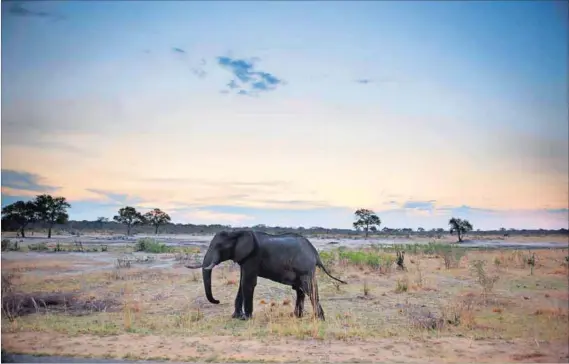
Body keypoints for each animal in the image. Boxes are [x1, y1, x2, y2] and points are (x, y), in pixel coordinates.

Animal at [186, 230, 346, 322]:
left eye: (219, 246)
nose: (218, 301)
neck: (237, 232)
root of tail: (316, 253)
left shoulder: (253, 256)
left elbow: (248, 283)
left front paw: (246, 319)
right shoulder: (245, 259)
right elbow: (242, 283)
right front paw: (236, 317)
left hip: (305, 269)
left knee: (309, 290)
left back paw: (320, 320)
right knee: (300, 291)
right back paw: (296, 317)